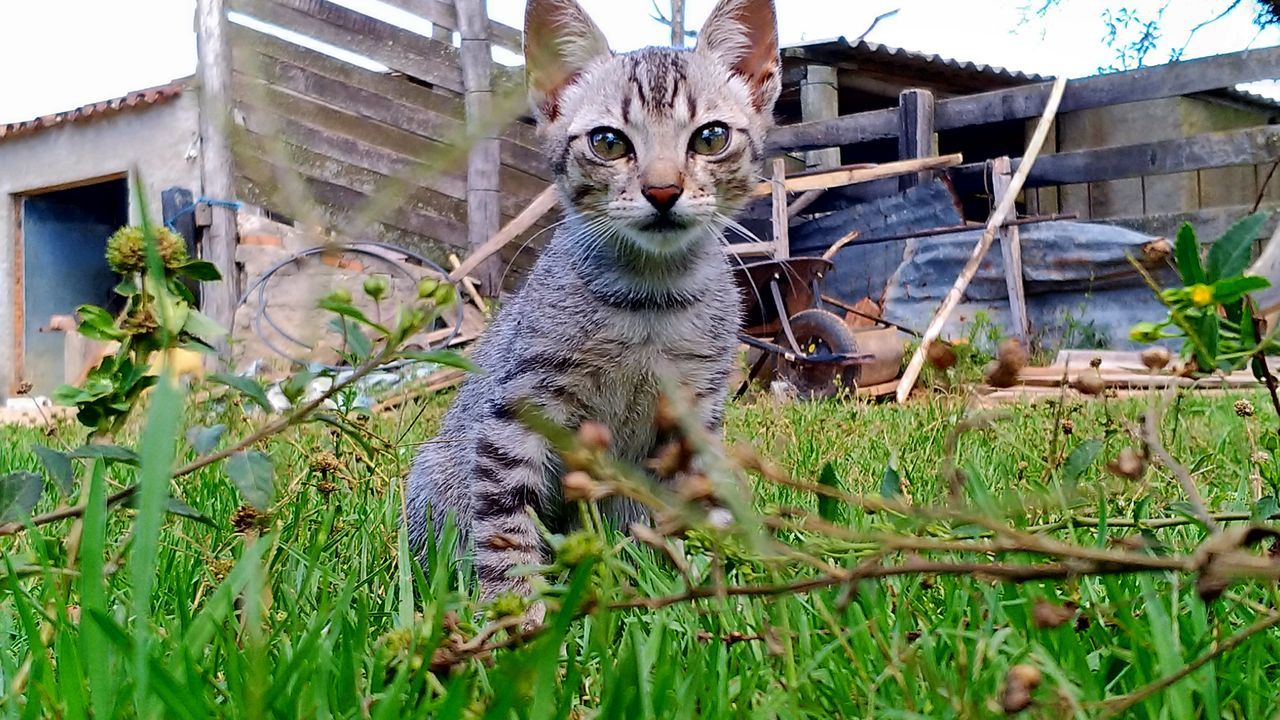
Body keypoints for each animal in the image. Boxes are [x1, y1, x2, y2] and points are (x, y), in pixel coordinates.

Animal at [407, 0, 778, 597]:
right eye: (608, 142)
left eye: (711, 137)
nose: (663, 190)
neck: (651, 300)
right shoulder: (520, 411)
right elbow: (506, 534)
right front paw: (518, 613)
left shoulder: (696, 415)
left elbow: (705, 511)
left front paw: (721, 590)